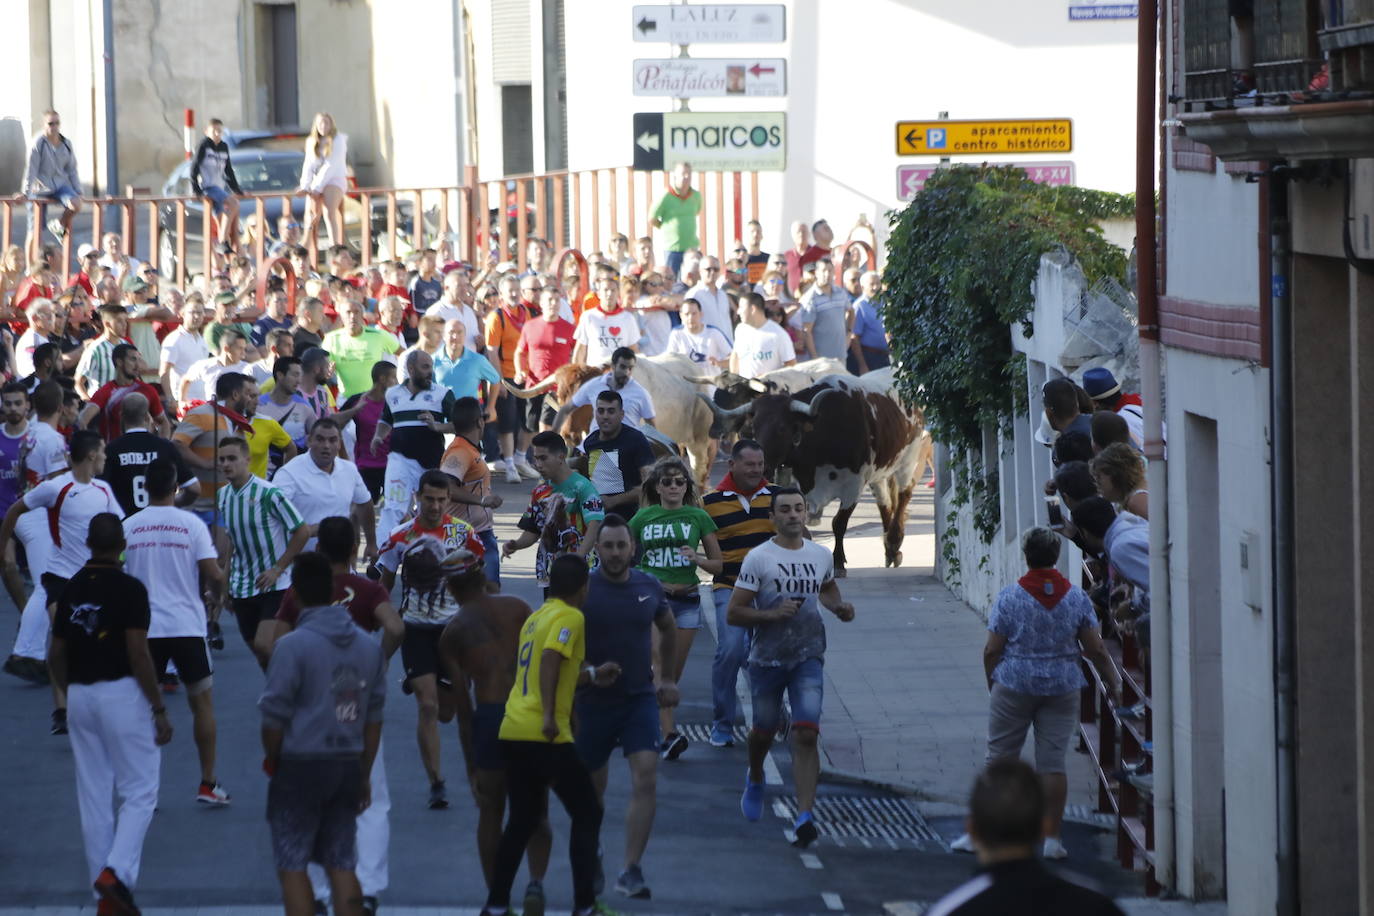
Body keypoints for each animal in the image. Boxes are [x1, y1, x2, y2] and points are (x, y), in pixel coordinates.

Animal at [741, 368, 934, 576]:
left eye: (782, 428)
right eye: (754, 427)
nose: (762, 467)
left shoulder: (854, 485)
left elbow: (839, 523)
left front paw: (838, 562)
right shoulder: (802, 485)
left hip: (909, 459)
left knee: (903, 497)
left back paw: (893, 542)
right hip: (879, 471)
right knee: (885, 504)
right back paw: (889, 549)